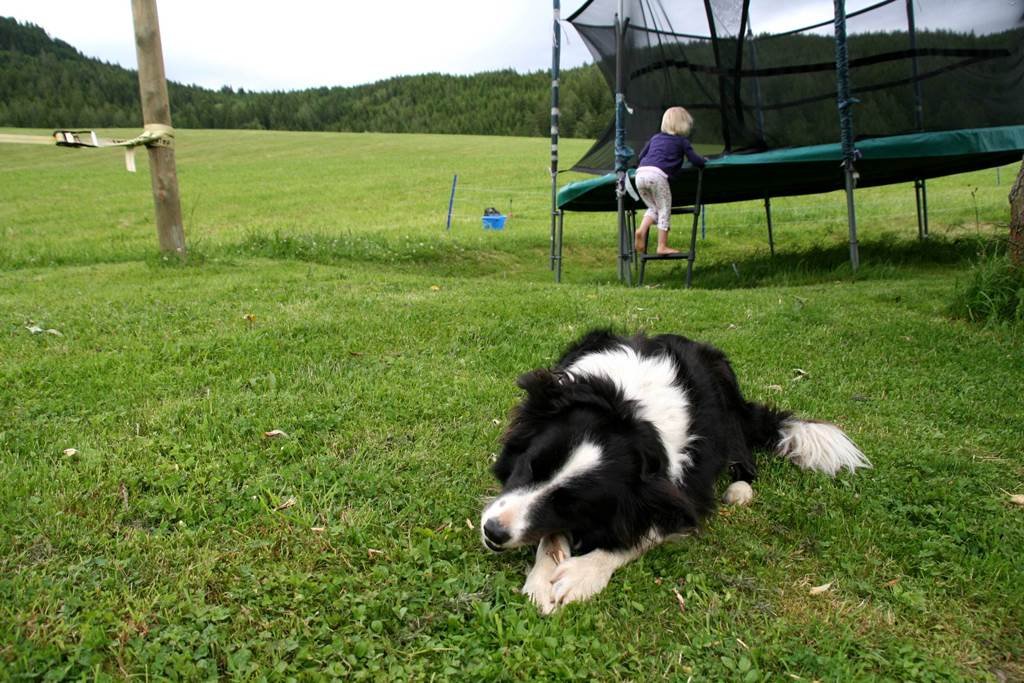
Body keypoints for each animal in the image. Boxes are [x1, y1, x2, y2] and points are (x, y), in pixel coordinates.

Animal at [481, 331, 872, 614]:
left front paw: (580, 574)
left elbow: (640, 533)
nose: (493, 531)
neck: (627, 410)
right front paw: (543, 574)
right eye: (531, 465)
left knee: (744, 456)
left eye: (571, 504)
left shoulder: (680, 496)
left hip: (728, 399)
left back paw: (740, 488)